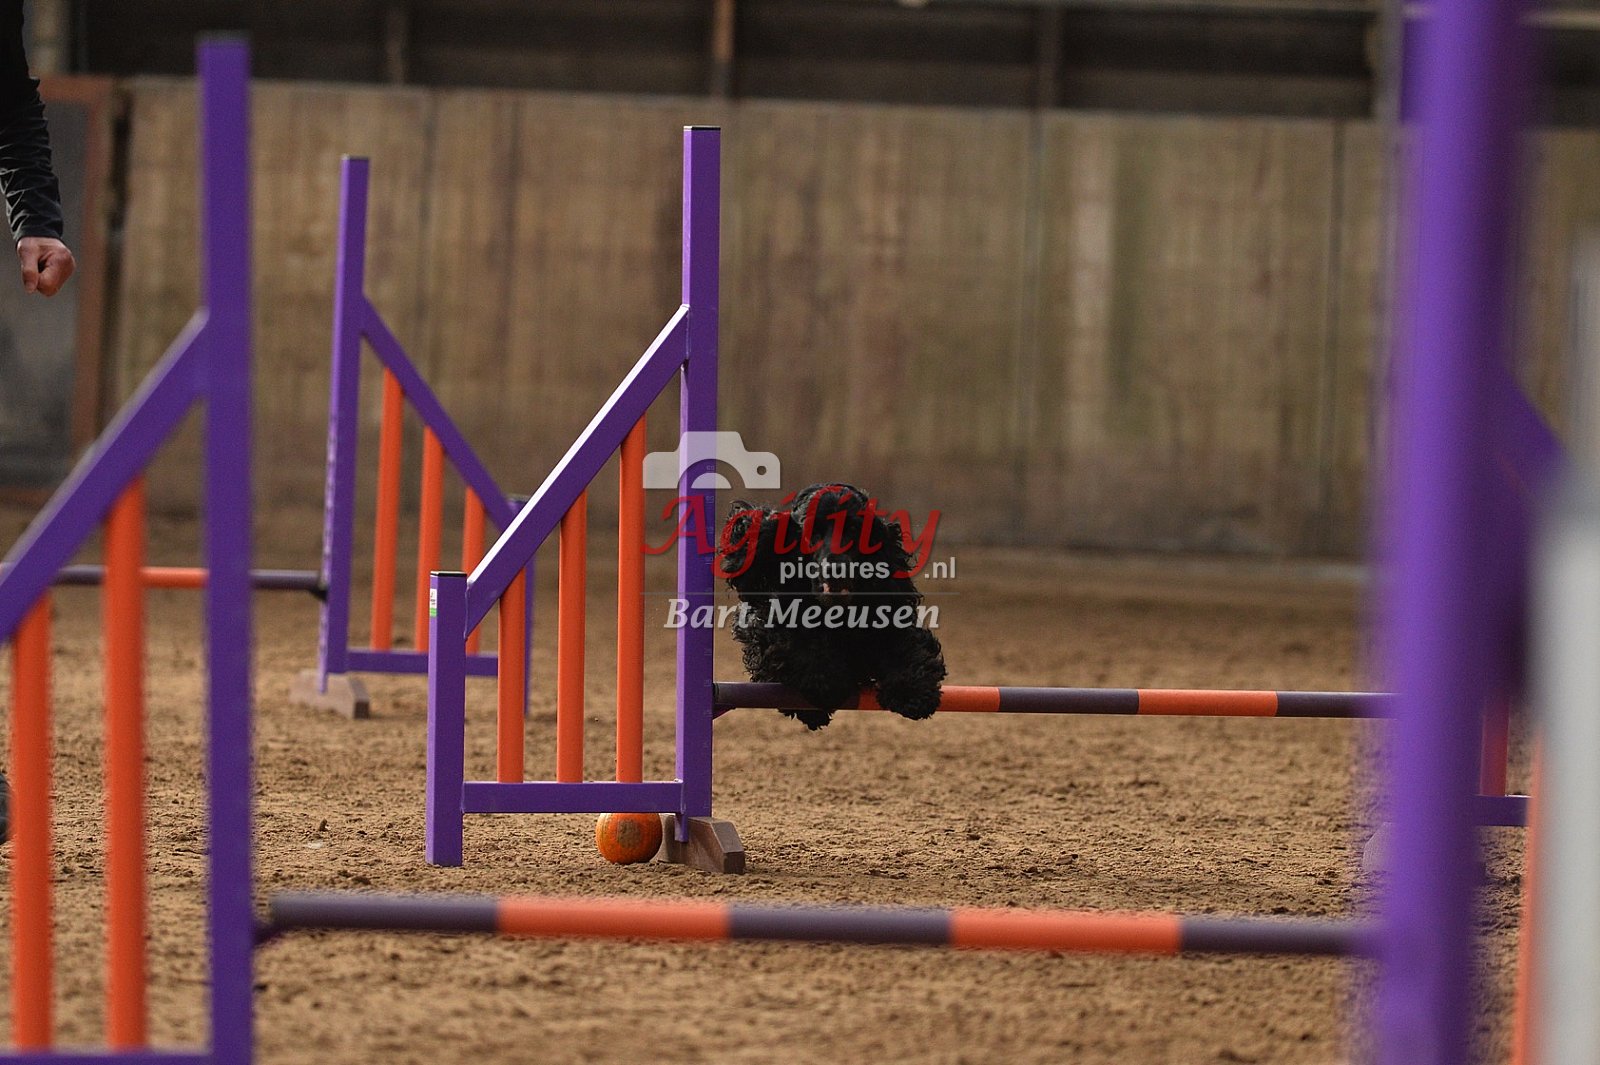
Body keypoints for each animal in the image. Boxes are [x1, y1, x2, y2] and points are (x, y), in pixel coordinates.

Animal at [718, 483, 946, 729]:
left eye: (854, 528)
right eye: (812, 532)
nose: (837, 568)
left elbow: (907, 648)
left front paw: (913, 691)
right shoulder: (769, 629)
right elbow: (799, 645)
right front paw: (825, 682)